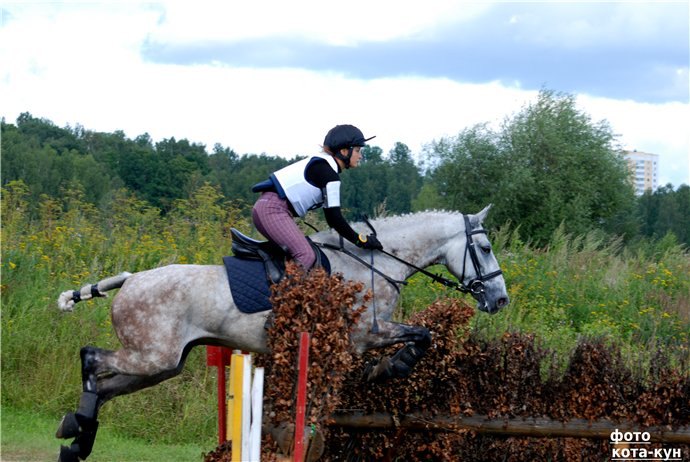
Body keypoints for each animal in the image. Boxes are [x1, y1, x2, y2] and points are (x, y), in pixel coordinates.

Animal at [55, 208, 506, 460]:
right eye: (484, 249)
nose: (499, 299)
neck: (374, 264)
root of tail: (130, 279)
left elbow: (422, 335)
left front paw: (388, 367)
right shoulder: (367, 334)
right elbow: (421, 336)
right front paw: (391, 368)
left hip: (161, 364)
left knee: (104, 386)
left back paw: (75, 437)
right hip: (152, 356)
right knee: (90, 357)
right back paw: (76, 431)